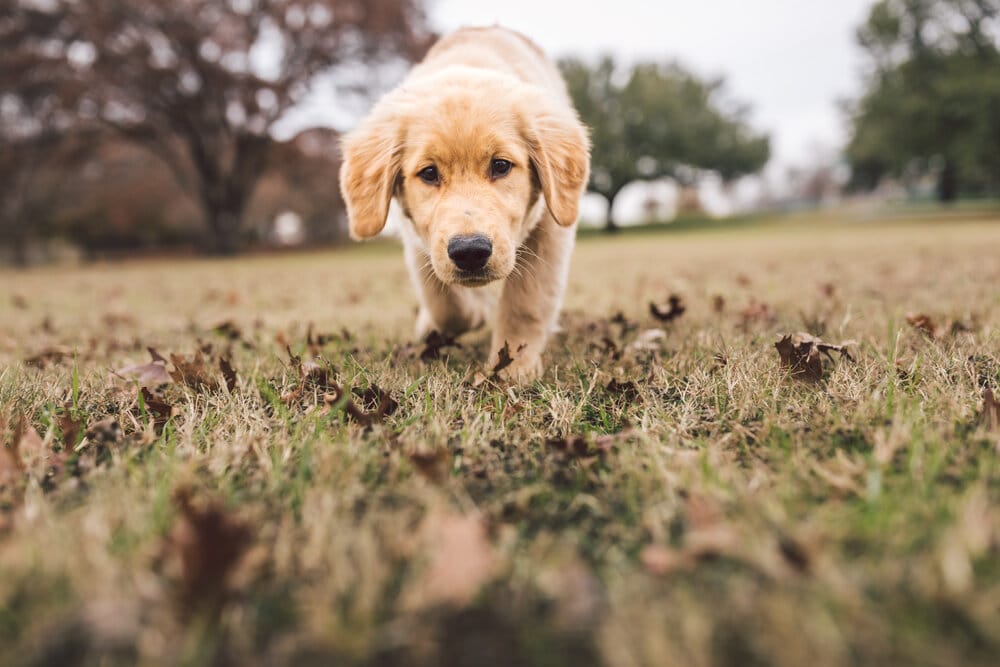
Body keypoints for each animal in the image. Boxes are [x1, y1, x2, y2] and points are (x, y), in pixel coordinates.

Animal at [340, 26, 588, 384]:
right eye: (429, 173)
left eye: (501, 166)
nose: (470, 252)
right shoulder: (419, 237)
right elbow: (444, 302)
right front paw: (471, 313)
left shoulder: (549, 229)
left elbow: (526, 301)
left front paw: (514, 368)